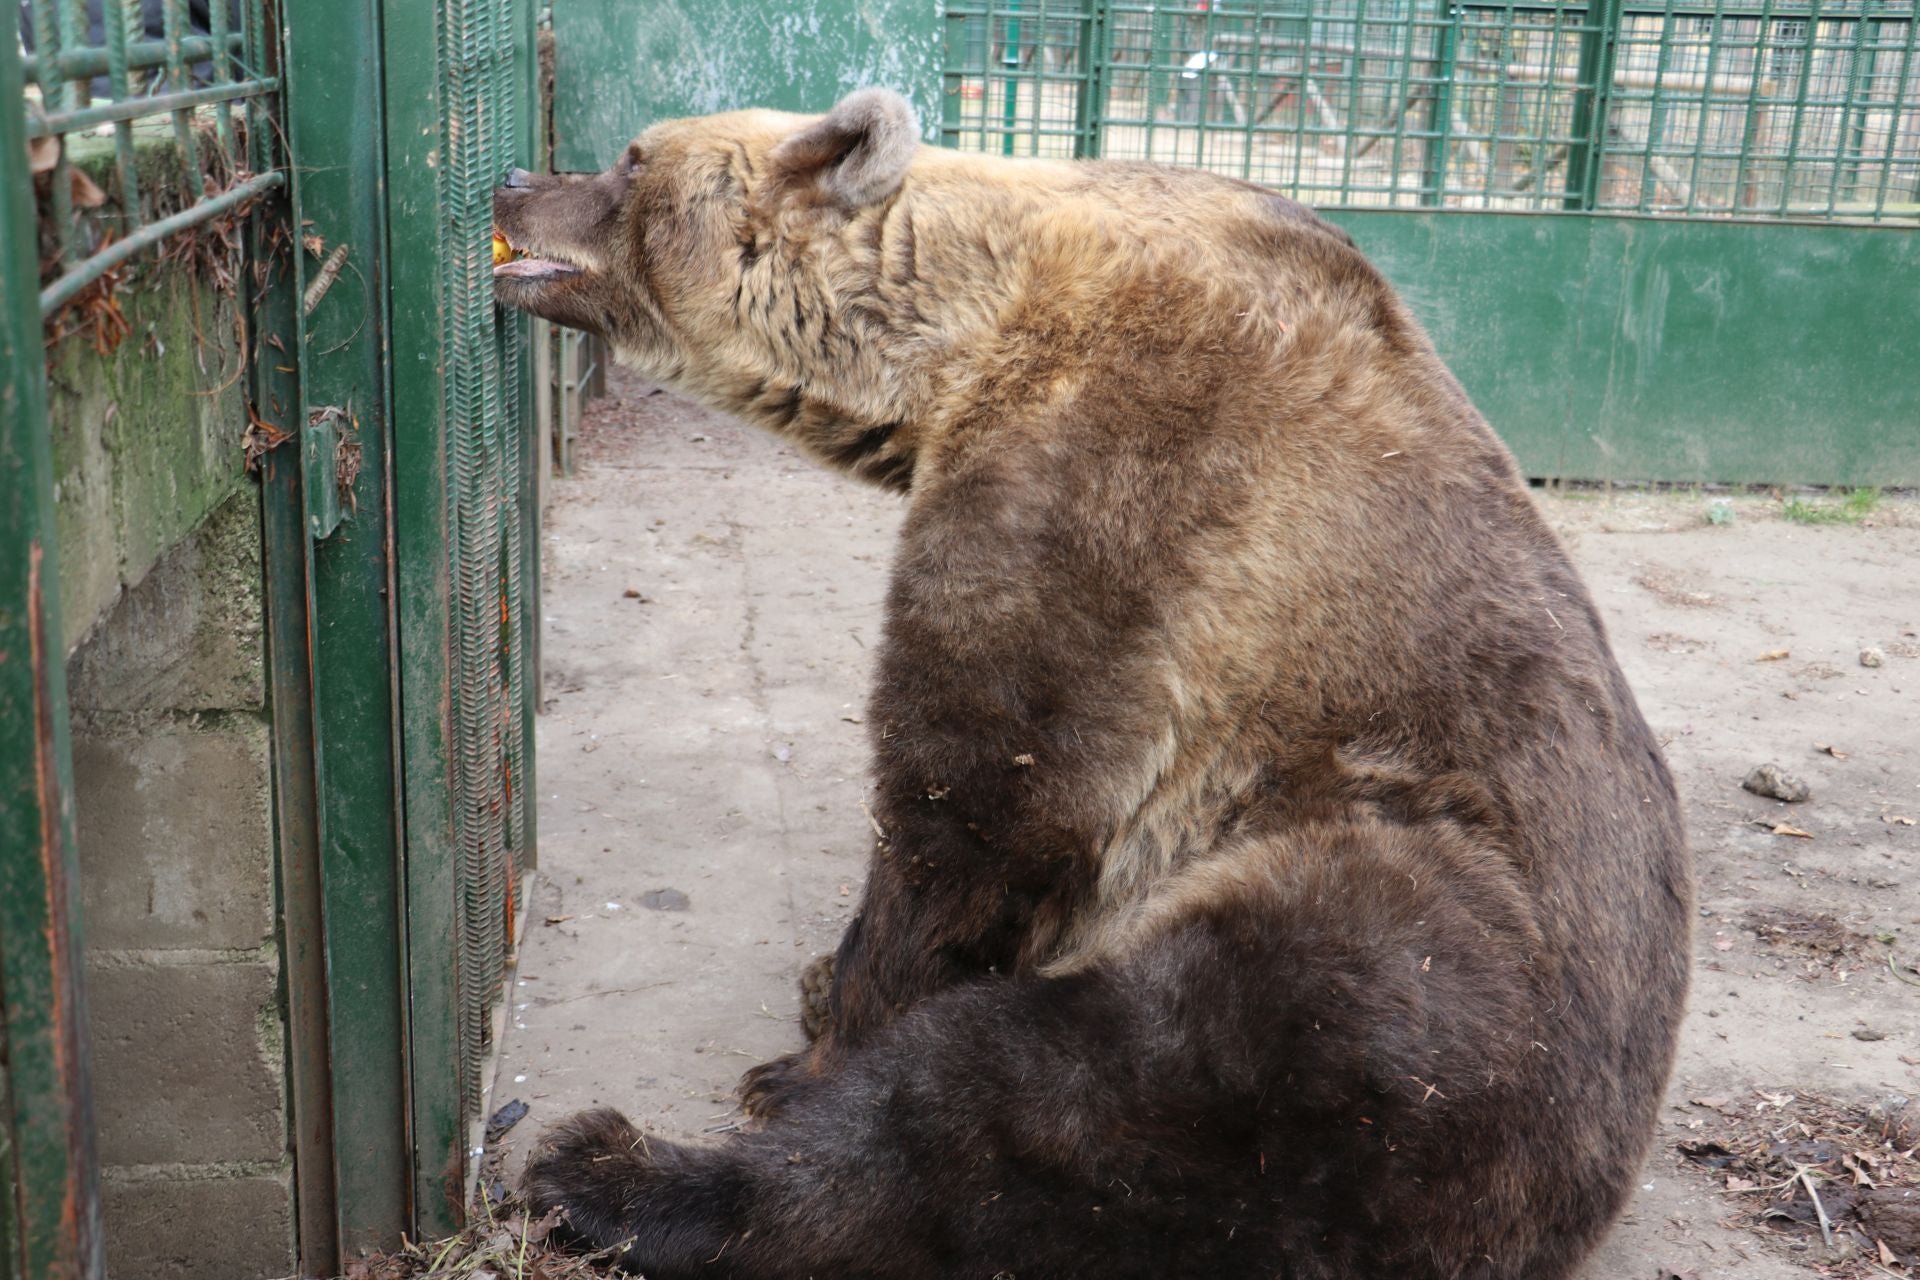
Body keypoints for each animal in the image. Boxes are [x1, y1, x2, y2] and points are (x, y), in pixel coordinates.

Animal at [495, 84, 1697, 1274]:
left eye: (630, 158)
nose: (511, 180)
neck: (952, 345)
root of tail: (1579, 1194)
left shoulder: (1113, 480)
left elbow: (981, 790)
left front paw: (815, 1044)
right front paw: (816, 983)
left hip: (1388, 948)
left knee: (1034, 1102)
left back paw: (610, 1168)